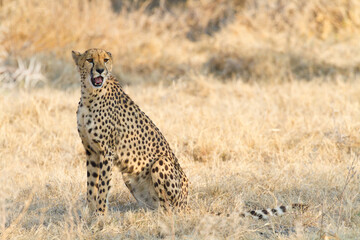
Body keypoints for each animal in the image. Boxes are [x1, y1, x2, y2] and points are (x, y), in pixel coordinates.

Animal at [71, 48, 308, 219]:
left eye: (105, 60)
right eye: (90, 60)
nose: (100, 71)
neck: (90, 95)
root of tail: (187, 203)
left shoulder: (107, 152)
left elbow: (102, 186)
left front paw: (100, 216)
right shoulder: (91, 151)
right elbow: (91, 185)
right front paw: (90, 214)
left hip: (161, 163)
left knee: (171, 211)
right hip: (131, 177)